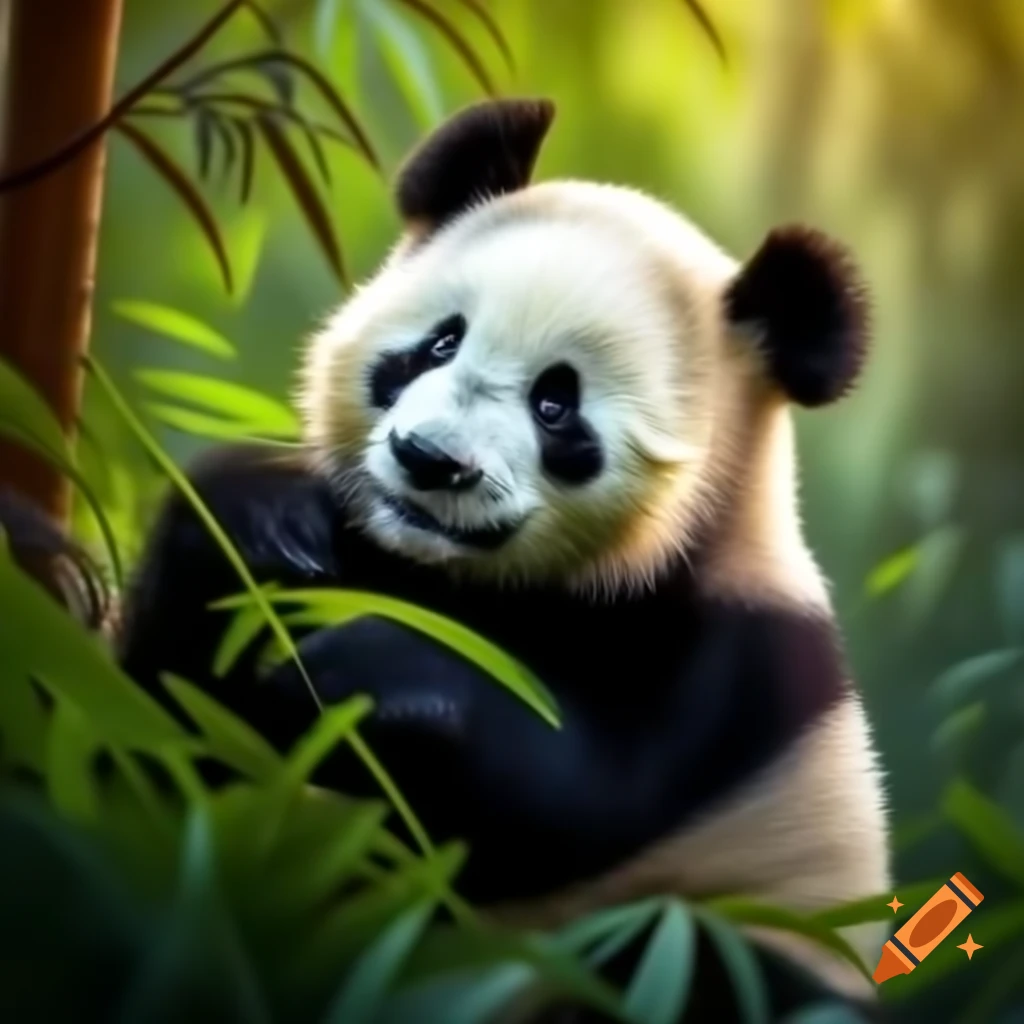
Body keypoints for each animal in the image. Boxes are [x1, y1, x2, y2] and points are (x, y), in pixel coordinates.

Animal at [115, 99, 891, 1021]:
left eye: (556, 404)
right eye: (438, 345)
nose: (427, 459)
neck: (460, 580)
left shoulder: (728, 660)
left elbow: (571, 797)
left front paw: (370, 677)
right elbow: (162, 732)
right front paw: (264, 528)